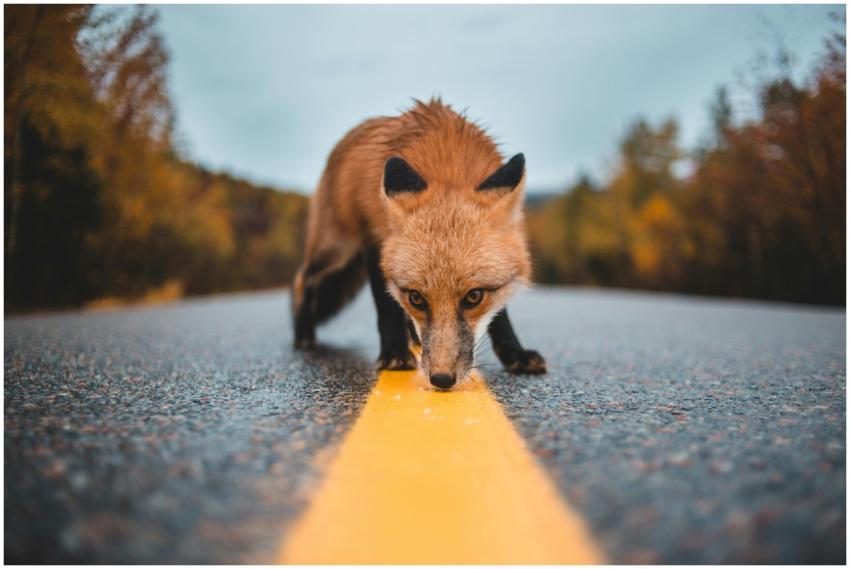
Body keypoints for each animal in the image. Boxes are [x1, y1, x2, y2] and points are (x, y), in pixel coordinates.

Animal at [291, 98, 546, 389]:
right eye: (416, 298)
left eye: (474, 297)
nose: (442, 379)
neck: (447, 163)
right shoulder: (375, 242)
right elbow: (387, 305)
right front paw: (393, 353)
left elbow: (500, 315)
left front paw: (514, 353)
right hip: (337, 249)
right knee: (302, 278)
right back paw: (303, 333)